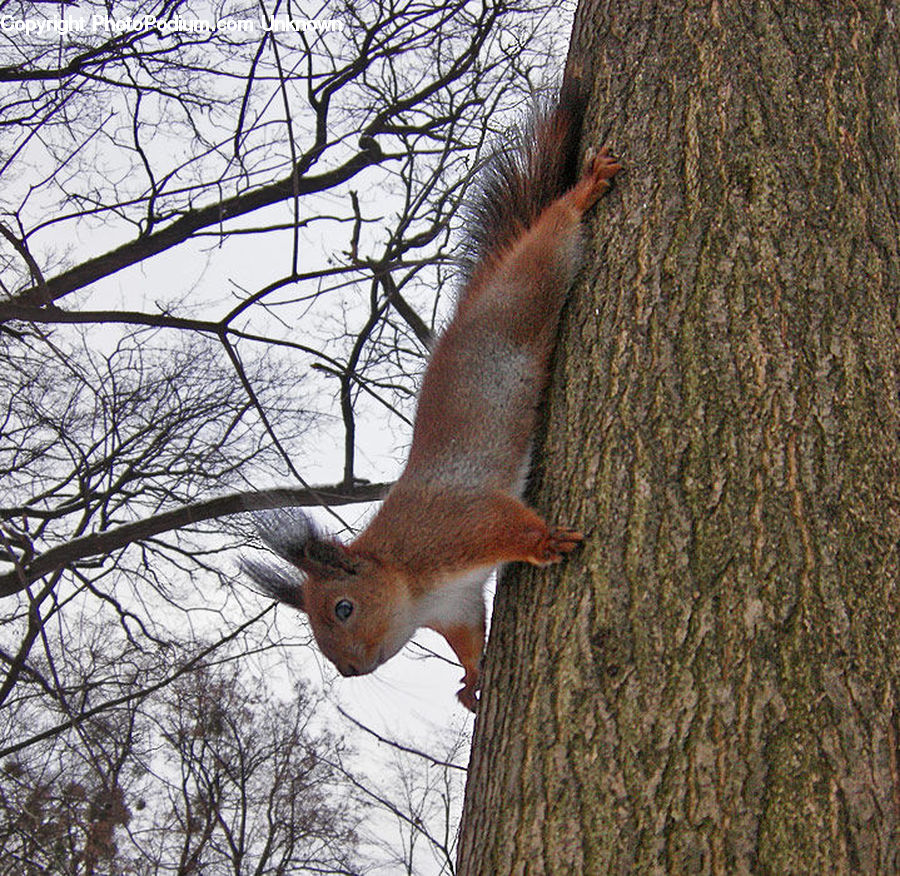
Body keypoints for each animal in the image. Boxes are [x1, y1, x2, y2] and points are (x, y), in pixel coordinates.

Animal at [242, 76, 620, 711]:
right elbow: (468, 638)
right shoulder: (456, 605)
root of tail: (478, 298)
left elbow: (505, 523)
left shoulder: (457, 527)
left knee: (554, 236)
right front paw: (471, 682)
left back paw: (582, 192)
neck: (407, 581)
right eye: (316, 630)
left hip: (530, 288)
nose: (350, 671)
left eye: (343, 609)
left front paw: (544, 540)